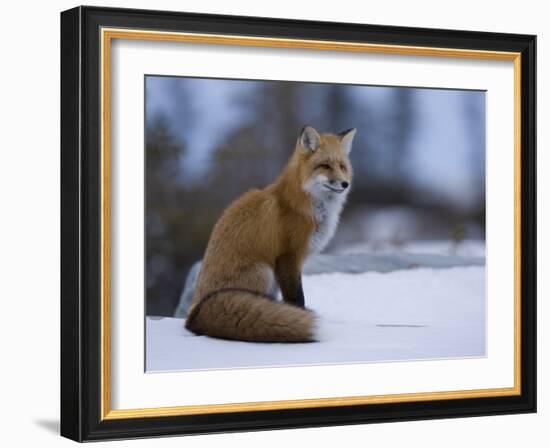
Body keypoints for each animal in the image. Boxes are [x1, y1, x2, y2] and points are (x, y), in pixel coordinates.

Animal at [185, 126, 358, 344]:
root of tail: (193, 314)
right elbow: (296, 297)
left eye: (342, 166)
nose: (344, 184)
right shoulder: (288, 256)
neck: (303, 205)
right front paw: (299, 316)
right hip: (263, 270)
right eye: (325, 166)